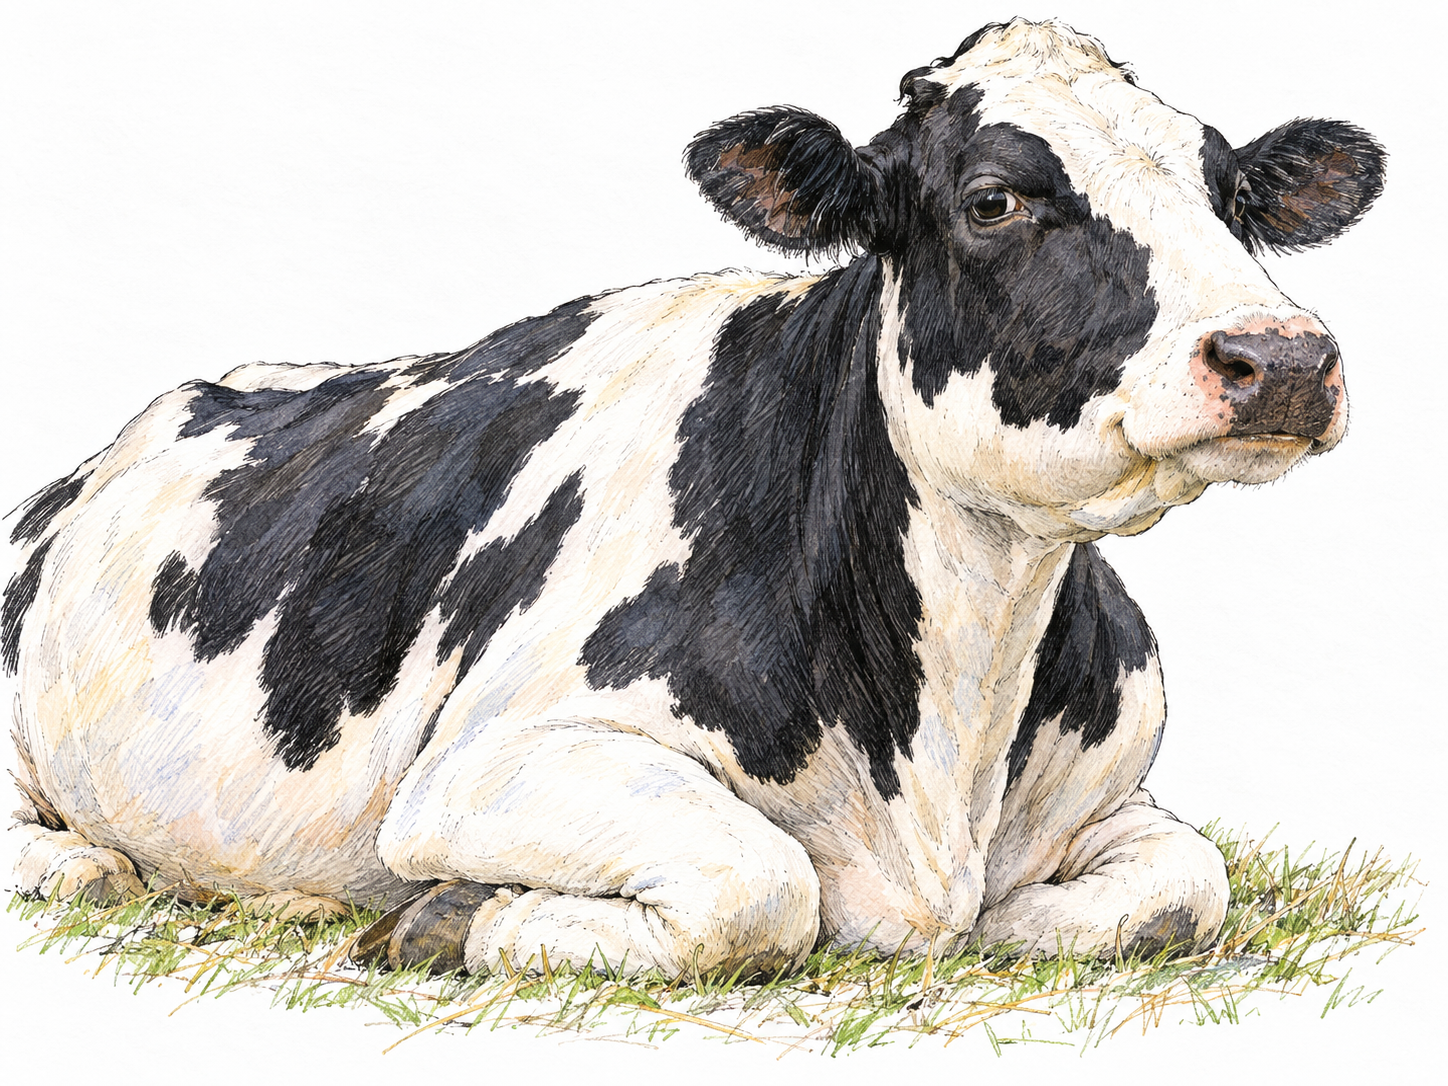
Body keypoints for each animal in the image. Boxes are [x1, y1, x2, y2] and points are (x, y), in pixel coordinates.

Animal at [4, 19, 1383, 978]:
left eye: (1229, 194)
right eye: (991, 199)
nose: (1282, 356)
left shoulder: (1118, 796)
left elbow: (1179, 887)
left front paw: (1023, 914)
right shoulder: (484, 765)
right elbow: (760, 884)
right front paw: (445, 923)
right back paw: (88, 865)